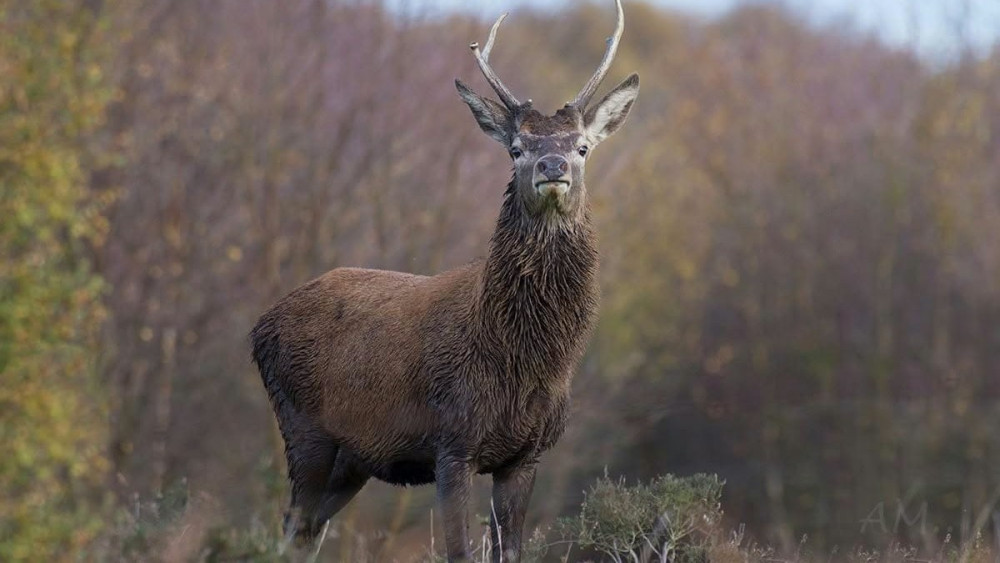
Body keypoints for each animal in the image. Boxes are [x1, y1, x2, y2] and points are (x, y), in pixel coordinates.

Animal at [250, 1, 638, 560]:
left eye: (583, 146)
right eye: (516, 147)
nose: (552, 165)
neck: (521, 358)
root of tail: (259, 327)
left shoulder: (526, 455)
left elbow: (510, 550)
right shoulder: (452, 441)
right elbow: (460, 550)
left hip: (351, 458)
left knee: (303, 533)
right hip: (302, 426)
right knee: (289, 527)